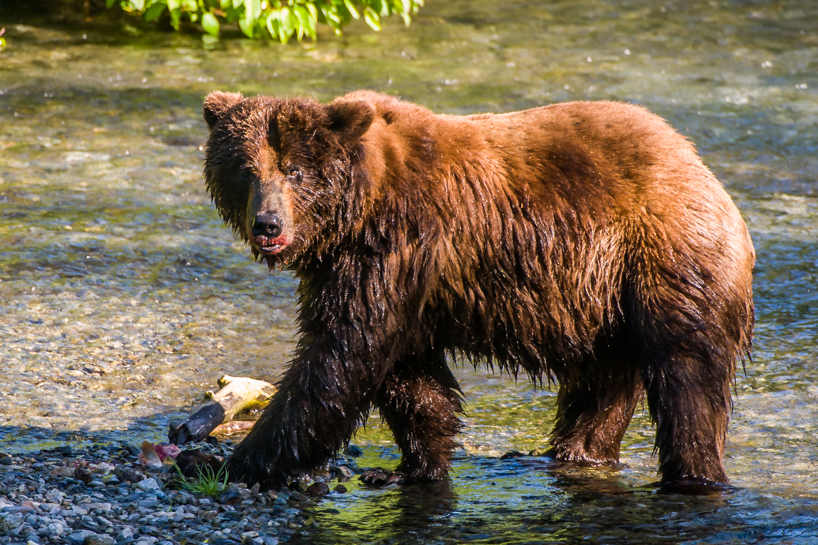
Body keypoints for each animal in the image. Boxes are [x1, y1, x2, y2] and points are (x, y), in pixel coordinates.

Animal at [200, 89, 754, 490]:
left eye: (294, 171)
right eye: (245, 170)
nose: (268, 224)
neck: (354, 215)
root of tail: (701, 168)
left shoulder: (398, 244)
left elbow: (340, 354)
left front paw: (233, 461)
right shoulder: (383, 277)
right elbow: (405, 373)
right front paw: (411, 465)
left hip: (664, 257)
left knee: (687, 375)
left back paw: (692, 476)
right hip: (602, 299)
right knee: (602, 382)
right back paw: (569, 454)